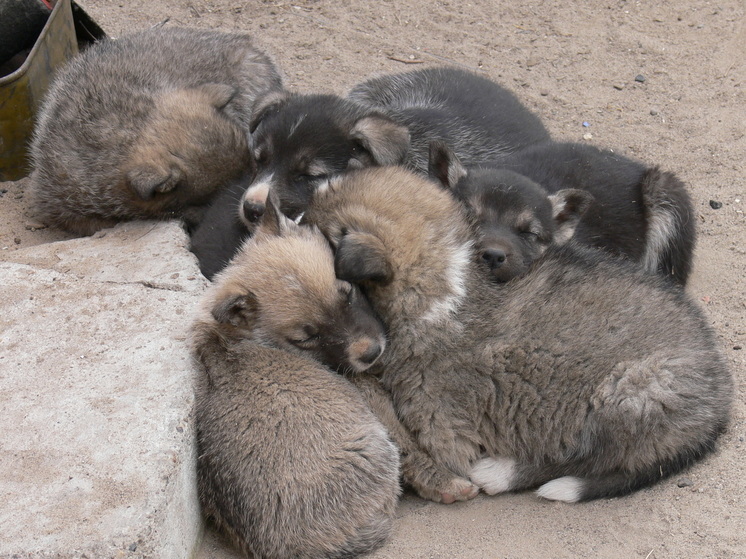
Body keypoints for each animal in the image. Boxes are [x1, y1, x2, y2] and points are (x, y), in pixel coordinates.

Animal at [192, 199, 402, 556]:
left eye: (347, 293)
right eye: (306, 338)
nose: (372, 353)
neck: (236, 337)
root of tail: (288, 548)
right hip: (377, 451)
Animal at [304, 166, 732, 504]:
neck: (447, 284)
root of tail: (720, 405)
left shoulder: (443, 428)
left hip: (632, 393)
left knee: (584, 458)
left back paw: (499, 473)